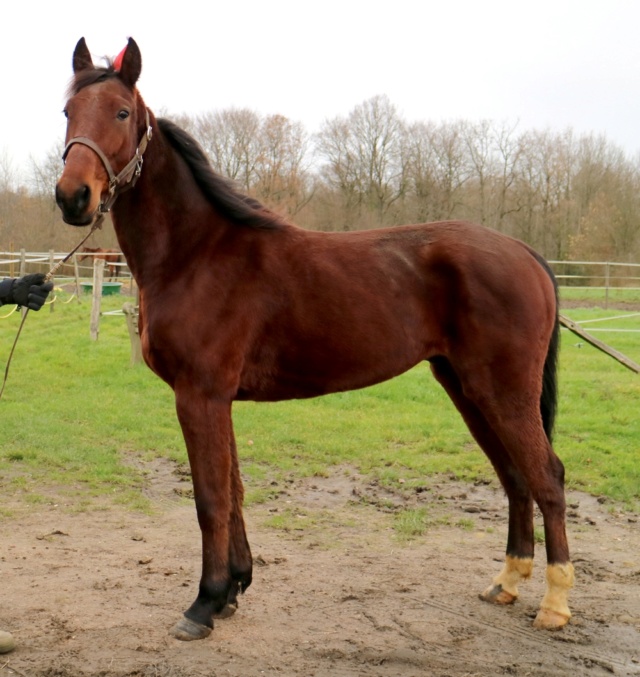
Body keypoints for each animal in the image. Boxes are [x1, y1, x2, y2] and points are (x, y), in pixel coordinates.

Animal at [55, 37, 576, 640]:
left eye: (121, 112)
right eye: (67, 111)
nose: (73, 197)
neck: (197, 254)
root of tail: (524, 253)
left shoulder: (200, 395)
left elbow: (210, 498)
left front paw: (204, 603)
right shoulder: (218, 399)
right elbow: (233, 491)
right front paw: (233, 588)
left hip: (503, 392)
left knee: (548, 477)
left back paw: (555, 604)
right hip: (468, 389)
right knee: (515, 477)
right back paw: (507, 583)